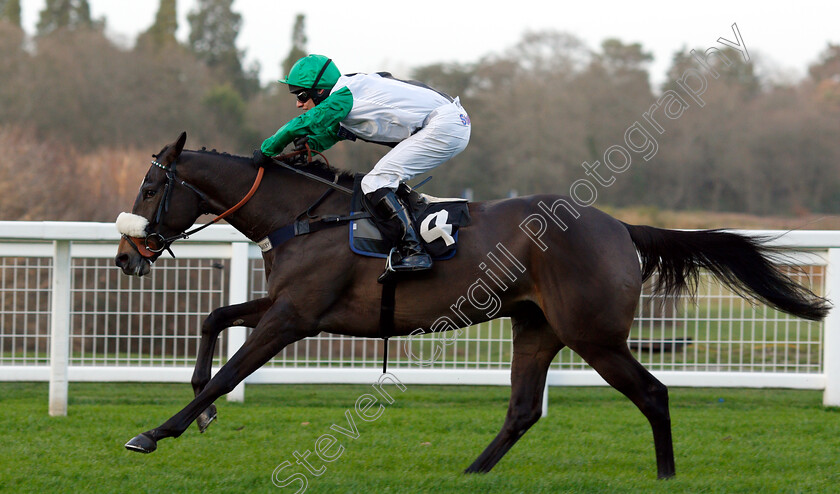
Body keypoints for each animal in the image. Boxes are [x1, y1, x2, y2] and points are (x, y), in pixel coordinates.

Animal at [115, 133, 832, 480]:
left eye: (150, 185)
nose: (126, 256)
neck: (304, 216)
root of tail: (620, 227)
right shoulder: (291, 304)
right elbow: (214, 320)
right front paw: (200, 409)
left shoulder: (296, 317)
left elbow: (234, 370)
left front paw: (156, 431)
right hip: (537, 327)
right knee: (522, 410)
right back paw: (472, 471)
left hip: (594, 335)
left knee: (653, 394)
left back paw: (665, 475)